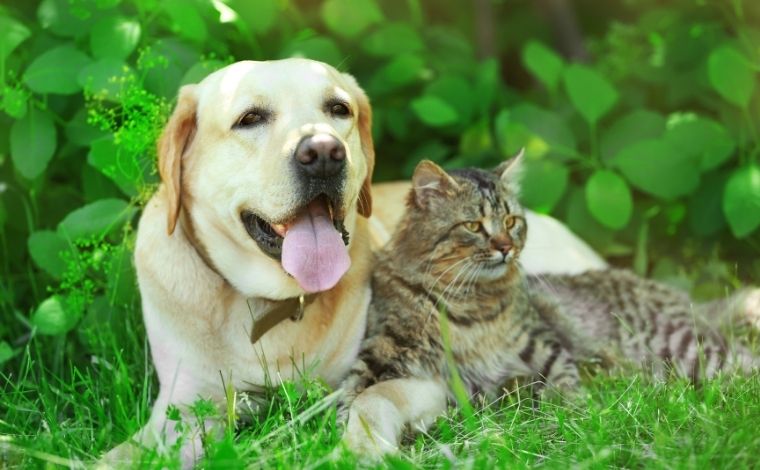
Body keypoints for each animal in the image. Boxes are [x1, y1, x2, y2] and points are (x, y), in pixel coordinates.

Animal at [105, 57, 604, 464]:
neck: (278, 306)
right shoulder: (186, 405)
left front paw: (358, 449)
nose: (324, 153)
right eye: (249, 118)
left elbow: (370, 400)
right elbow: (129, 452)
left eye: (339, 109)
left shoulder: (423, 378)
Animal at [340, 154, 760, 456]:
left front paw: (573, 417)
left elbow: (564, 384)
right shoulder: (391, 351)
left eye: (511, 221)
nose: (505, 247)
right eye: (474, 226)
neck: (471, 302)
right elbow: (355, 389)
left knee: (744, 363)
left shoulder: (543, 343)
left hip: (688, 349)